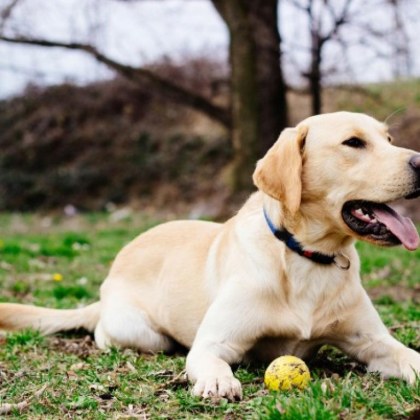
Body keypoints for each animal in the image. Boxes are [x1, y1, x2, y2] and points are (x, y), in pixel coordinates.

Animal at [0, 112, 420, 400]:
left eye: (388, 138)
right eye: (353, 143)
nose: (419, 160)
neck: (306, 256)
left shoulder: (373, 342)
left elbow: (408, 355)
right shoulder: (214, 342)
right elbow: (213, 360)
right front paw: (218, 381)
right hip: (142, 333)